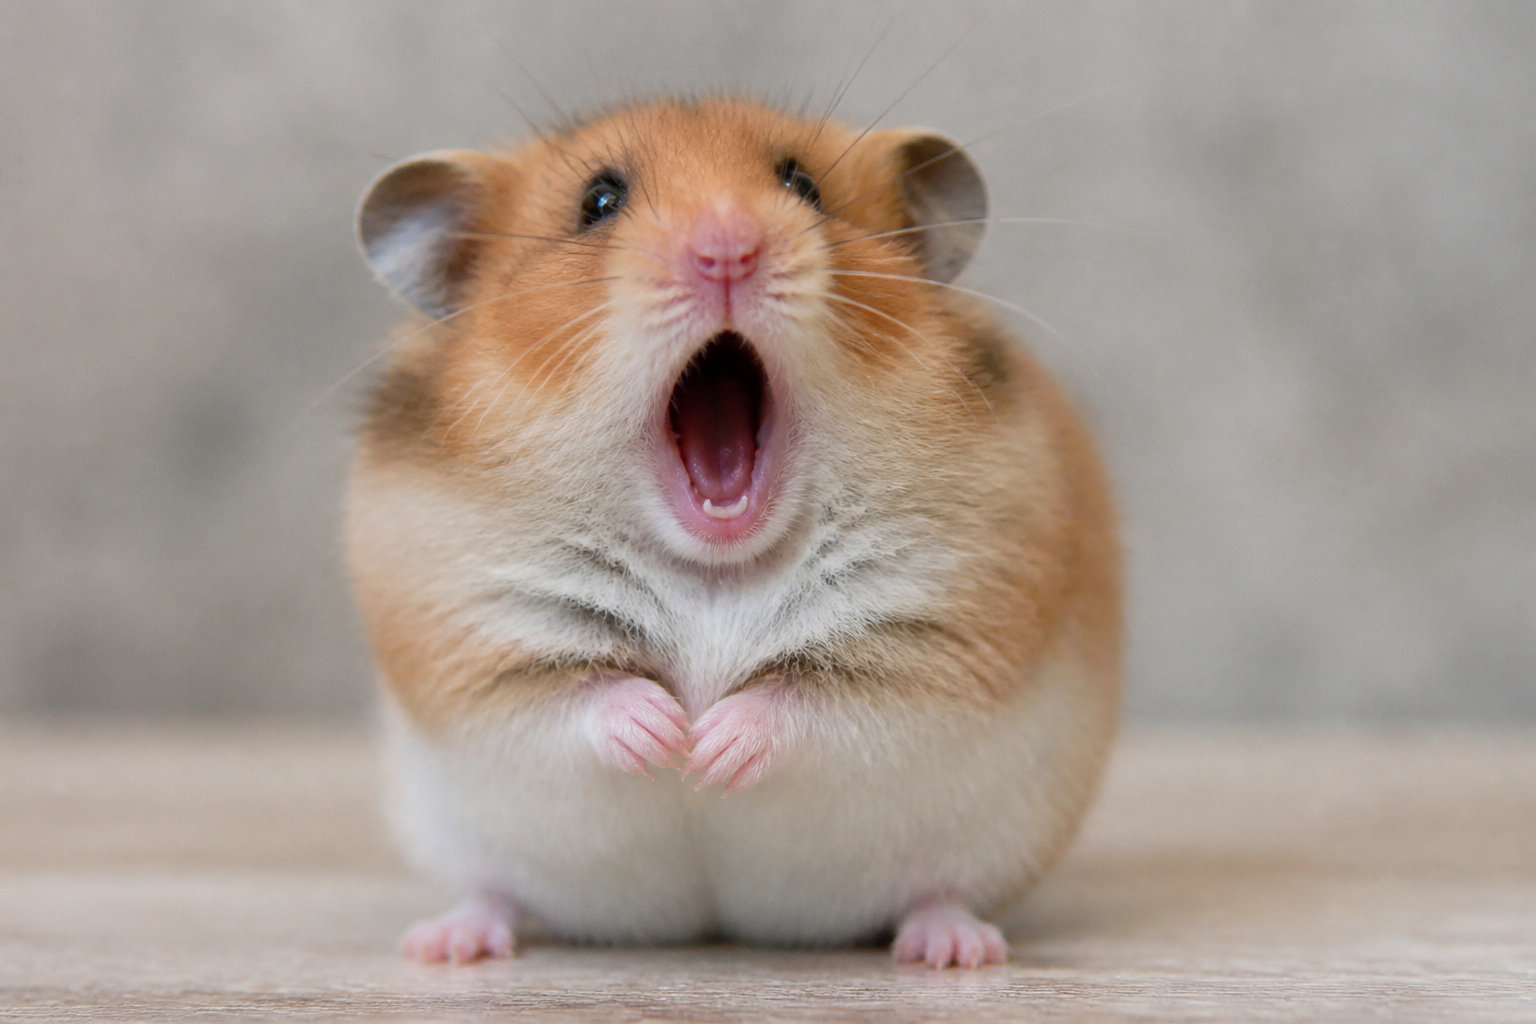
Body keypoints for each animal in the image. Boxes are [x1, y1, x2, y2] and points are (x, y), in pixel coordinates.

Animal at [346, 96, 1121, 970]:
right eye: (598, 202)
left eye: (803, 184)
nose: (727, 249)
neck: (715, 564)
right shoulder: (476, 643)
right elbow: (582, 694)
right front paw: (669, 736)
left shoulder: (932, 639)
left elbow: (803, 701)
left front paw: (710, 749)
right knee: (496, 892)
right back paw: (444, 943)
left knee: (936, 893)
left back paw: (954, 950)